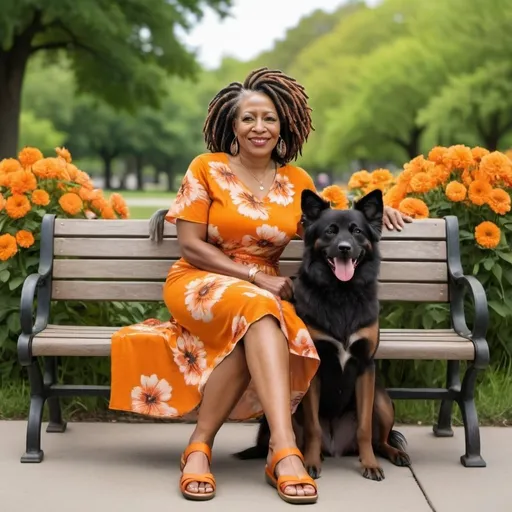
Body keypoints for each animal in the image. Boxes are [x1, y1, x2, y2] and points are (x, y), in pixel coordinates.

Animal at [236, 188, 412, 480]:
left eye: (357, 231)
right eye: (330, 231)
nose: (344, 248)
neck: (341, 294)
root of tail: (337, 447)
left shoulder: (366, 367)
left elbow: (365, 428)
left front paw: (370, 464)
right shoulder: (314, 370)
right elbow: (313, 427)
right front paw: (310, 463)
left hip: (382, 399)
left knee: (380, 439)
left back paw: (392, 453)